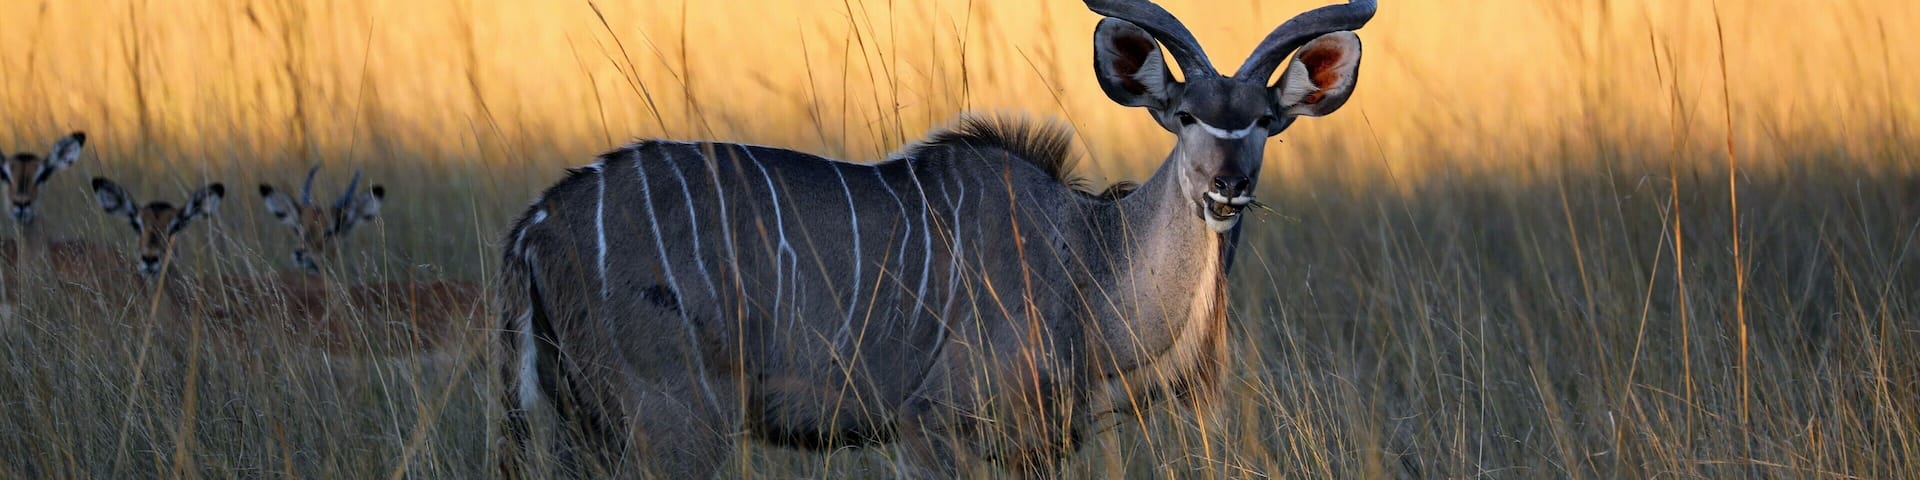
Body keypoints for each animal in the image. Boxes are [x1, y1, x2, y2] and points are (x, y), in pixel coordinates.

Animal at [496, 0, 1375, 477]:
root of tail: (537, 225)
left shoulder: (1031, 451)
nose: (1227, 186)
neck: (1087, 261)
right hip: (676, 423)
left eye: (1264, 122)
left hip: (584, 429)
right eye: (1186, 115)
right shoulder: (931, 428)